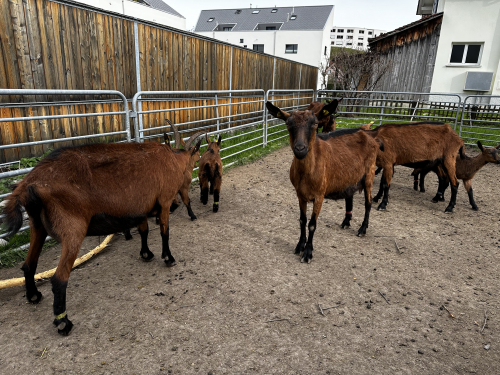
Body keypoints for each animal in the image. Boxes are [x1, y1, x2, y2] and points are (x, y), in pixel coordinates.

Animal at [2, 128, 201, 336]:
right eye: (195, 153)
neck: (175, 160)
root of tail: (29, 183)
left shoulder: (140, 209)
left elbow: (144, 231)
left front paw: (146, 254)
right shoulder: (164, 201)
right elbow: (164, 232)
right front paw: (168, 258)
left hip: (37, 225)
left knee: (29, 264)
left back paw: (34, 296)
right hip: (73, 229)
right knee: (59, 278)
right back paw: (63, 322)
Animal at [268, 100, 380, 264]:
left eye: (315, 123)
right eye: (288, 123)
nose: (300, 149)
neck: (307, 172)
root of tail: (370, 136)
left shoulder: (319, 195)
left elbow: (312, 225)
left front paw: (308, 253)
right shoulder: (300, 194)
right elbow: (302, 220)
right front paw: (299, 246)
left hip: (369, 174)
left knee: (368, 202)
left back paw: (362, 229)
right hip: (351, 177)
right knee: (350, 196)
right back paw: (346, 222)